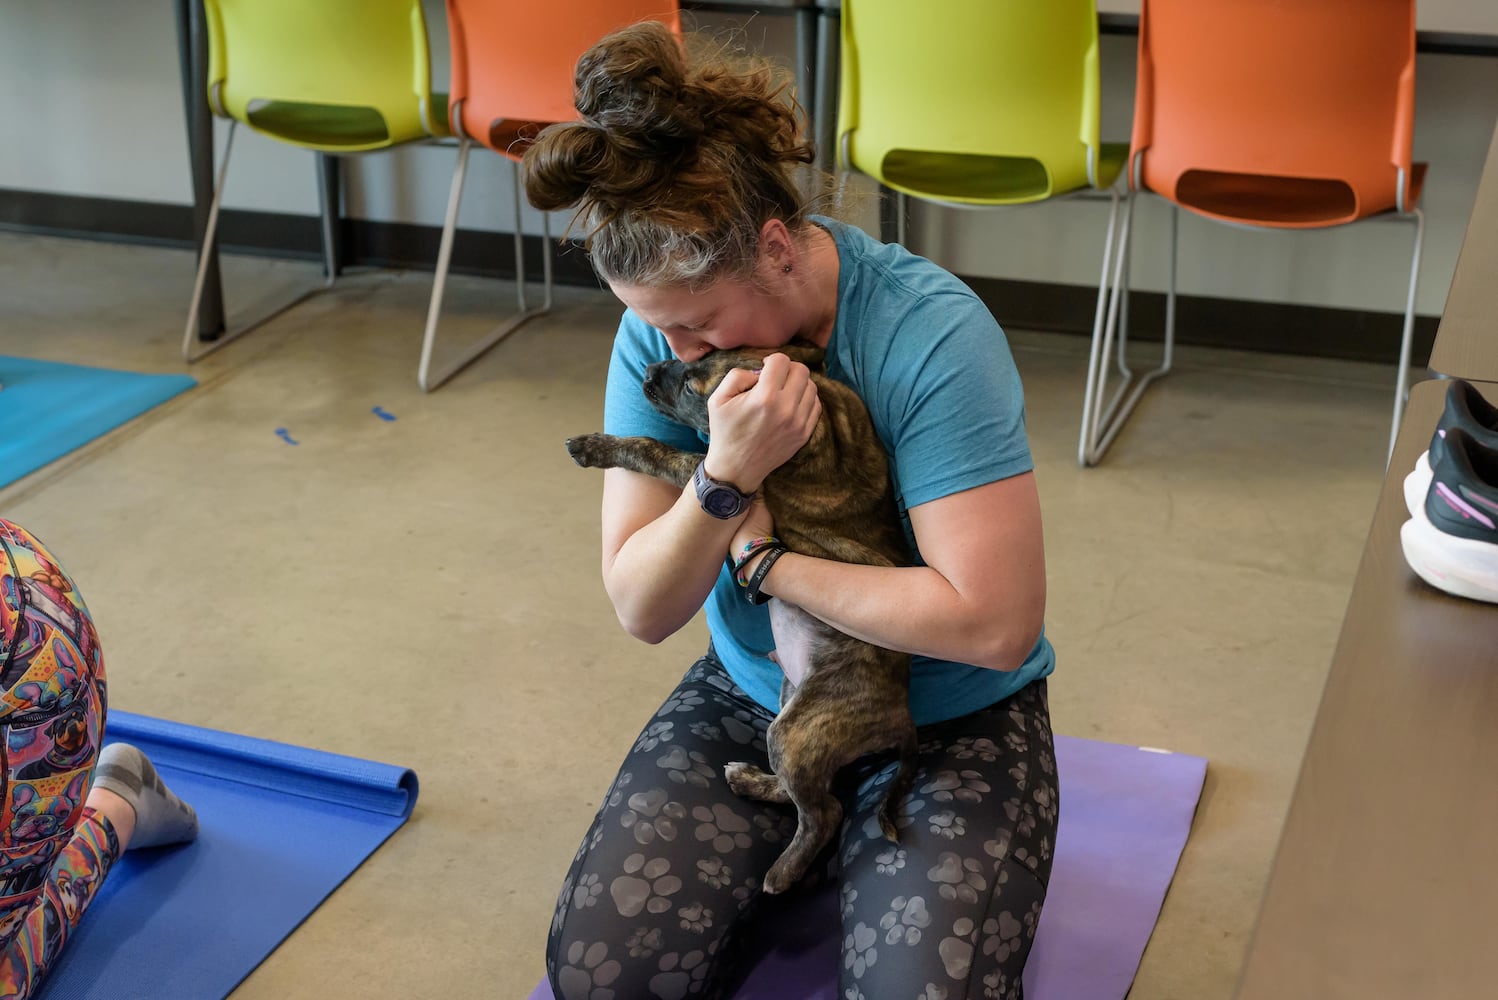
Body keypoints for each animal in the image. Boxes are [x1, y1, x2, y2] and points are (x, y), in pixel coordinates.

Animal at [563, 345, 910, 898]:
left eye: (692, 388)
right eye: (700, 353)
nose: (647, 371)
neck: (824, 415)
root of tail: (903, 717)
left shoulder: (714, 469)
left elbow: (656, 450)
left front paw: (598, 446)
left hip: (798, 729)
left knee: (825, 811)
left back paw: (783, 872)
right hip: (791, 700)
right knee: (797, 791)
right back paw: (751, 780)